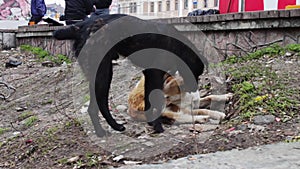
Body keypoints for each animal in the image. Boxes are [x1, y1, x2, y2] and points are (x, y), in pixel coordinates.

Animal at [53, 13, 206, 137]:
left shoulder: (151, 75)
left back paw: (104, 130)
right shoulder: (154, 74)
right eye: (197, 73)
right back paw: (110, 128)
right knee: (98, 105)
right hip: (103, 74)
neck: (178, 46)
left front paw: (152, 123)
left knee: (93, 107)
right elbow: (155, 101)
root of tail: (81, 26)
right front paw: (157, 126)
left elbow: (150, 102)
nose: (194, 88)